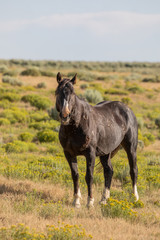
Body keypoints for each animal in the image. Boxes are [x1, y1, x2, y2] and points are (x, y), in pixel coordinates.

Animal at [55, 72, 139, 207]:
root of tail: (127, 109)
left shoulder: (90, 153)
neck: (76, 126)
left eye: (72, 93)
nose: (65, 115)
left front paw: (90, 202)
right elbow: (75, 175)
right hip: (106, 152)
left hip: (131, 147)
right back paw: (104, 199)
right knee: (109, 171)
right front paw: (76, 201)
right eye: (57, 92)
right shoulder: (69, 153)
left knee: (133, 170)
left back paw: (135, 197)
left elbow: (89, 176)